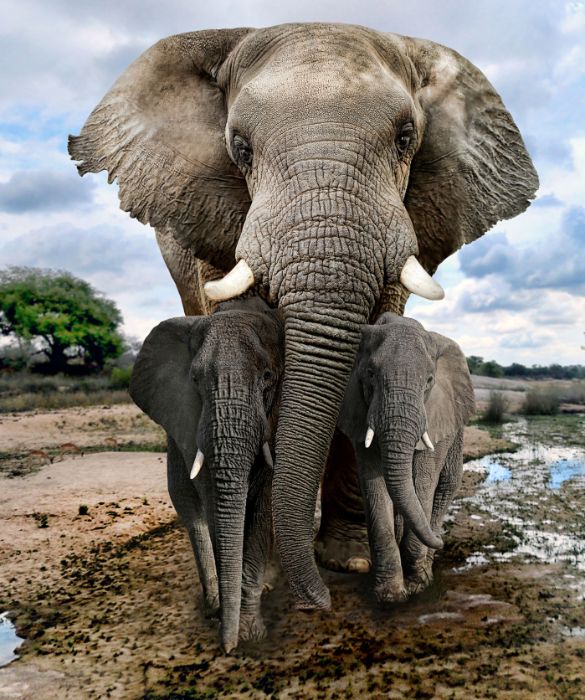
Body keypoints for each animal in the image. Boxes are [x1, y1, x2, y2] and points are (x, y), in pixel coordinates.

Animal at [129, 297, 283, 652]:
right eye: (196, 380)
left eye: (268, 376)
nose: (226, 649)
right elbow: (212, 500)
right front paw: (235, 627)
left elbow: (263, 504)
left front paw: (249, 634)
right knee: (188, 506)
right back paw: (214, 605)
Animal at [338, 313, 475, 603]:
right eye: (370, 374)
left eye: (429, 380)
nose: (442, 541)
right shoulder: (359, 410)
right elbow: (374, 485)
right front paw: (389, 595)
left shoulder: (435, 414)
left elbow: (423, 482)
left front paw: (418, 585)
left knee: (446, 485)